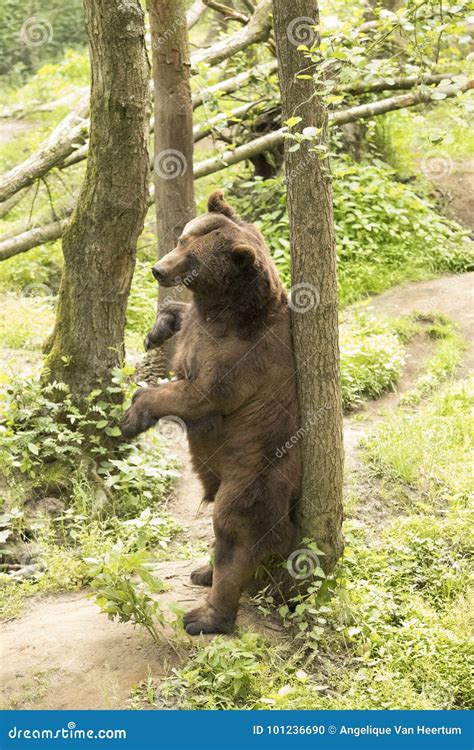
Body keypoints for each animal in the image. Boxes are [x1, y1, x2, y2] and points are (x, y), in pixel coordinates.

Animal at [120, 189, 302, 636]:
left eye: (193, 259)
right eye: (182, 238)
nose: (158, 269)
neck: (227, 311)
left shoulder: (240, 359)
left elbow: (197, 395)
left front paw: (132, 417)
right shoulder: (201, 328)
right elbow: (181, 320)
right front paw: (155, 330)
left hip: (254, 470)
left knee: (235, 530)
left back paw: (205, 614)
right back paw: (202, 571)